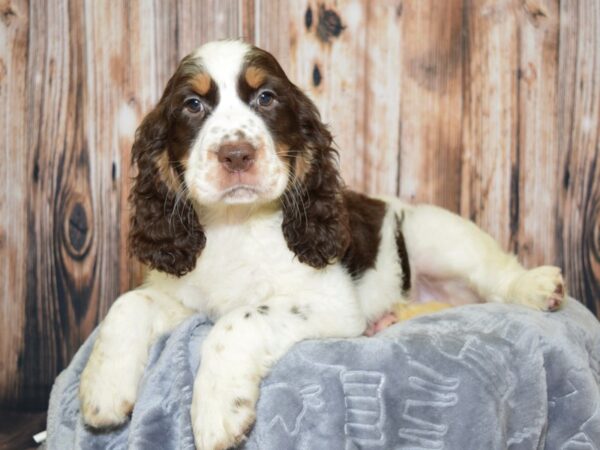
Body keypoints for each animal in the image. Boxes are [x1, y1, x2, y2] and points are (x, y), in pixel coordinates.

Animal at [81, 39, 568, 450]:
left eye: (266, 98)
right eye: (193, 104)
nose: (236, 155)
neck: (235, 224)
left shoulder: (330, 301)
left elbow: (239, 320)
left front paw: (217, 410)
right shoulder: (182, 293)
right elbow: (128, 304)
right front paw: (102, 389)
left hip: (441, 239)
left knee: (495, 273)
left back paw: (537, 287)